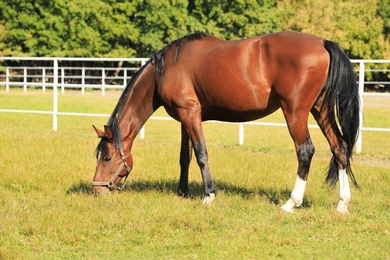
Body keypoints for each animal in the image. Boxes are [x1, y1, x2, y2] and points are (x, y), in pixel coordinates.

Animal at [92, 30, 360, 213]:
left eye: (107, 157)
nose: (96, 190)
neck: (165, 70)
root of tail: (322, 43)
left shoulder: (190, 114)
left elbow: (201, 154)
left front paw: (209, 195)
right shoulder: (184, 119)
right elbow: (184, 157)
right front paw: (182, 192)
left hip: (296, 111)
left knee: (305, 151)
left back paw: (291, 203)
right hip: (321, 109)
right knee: (339, 148)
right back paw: (342, 204)